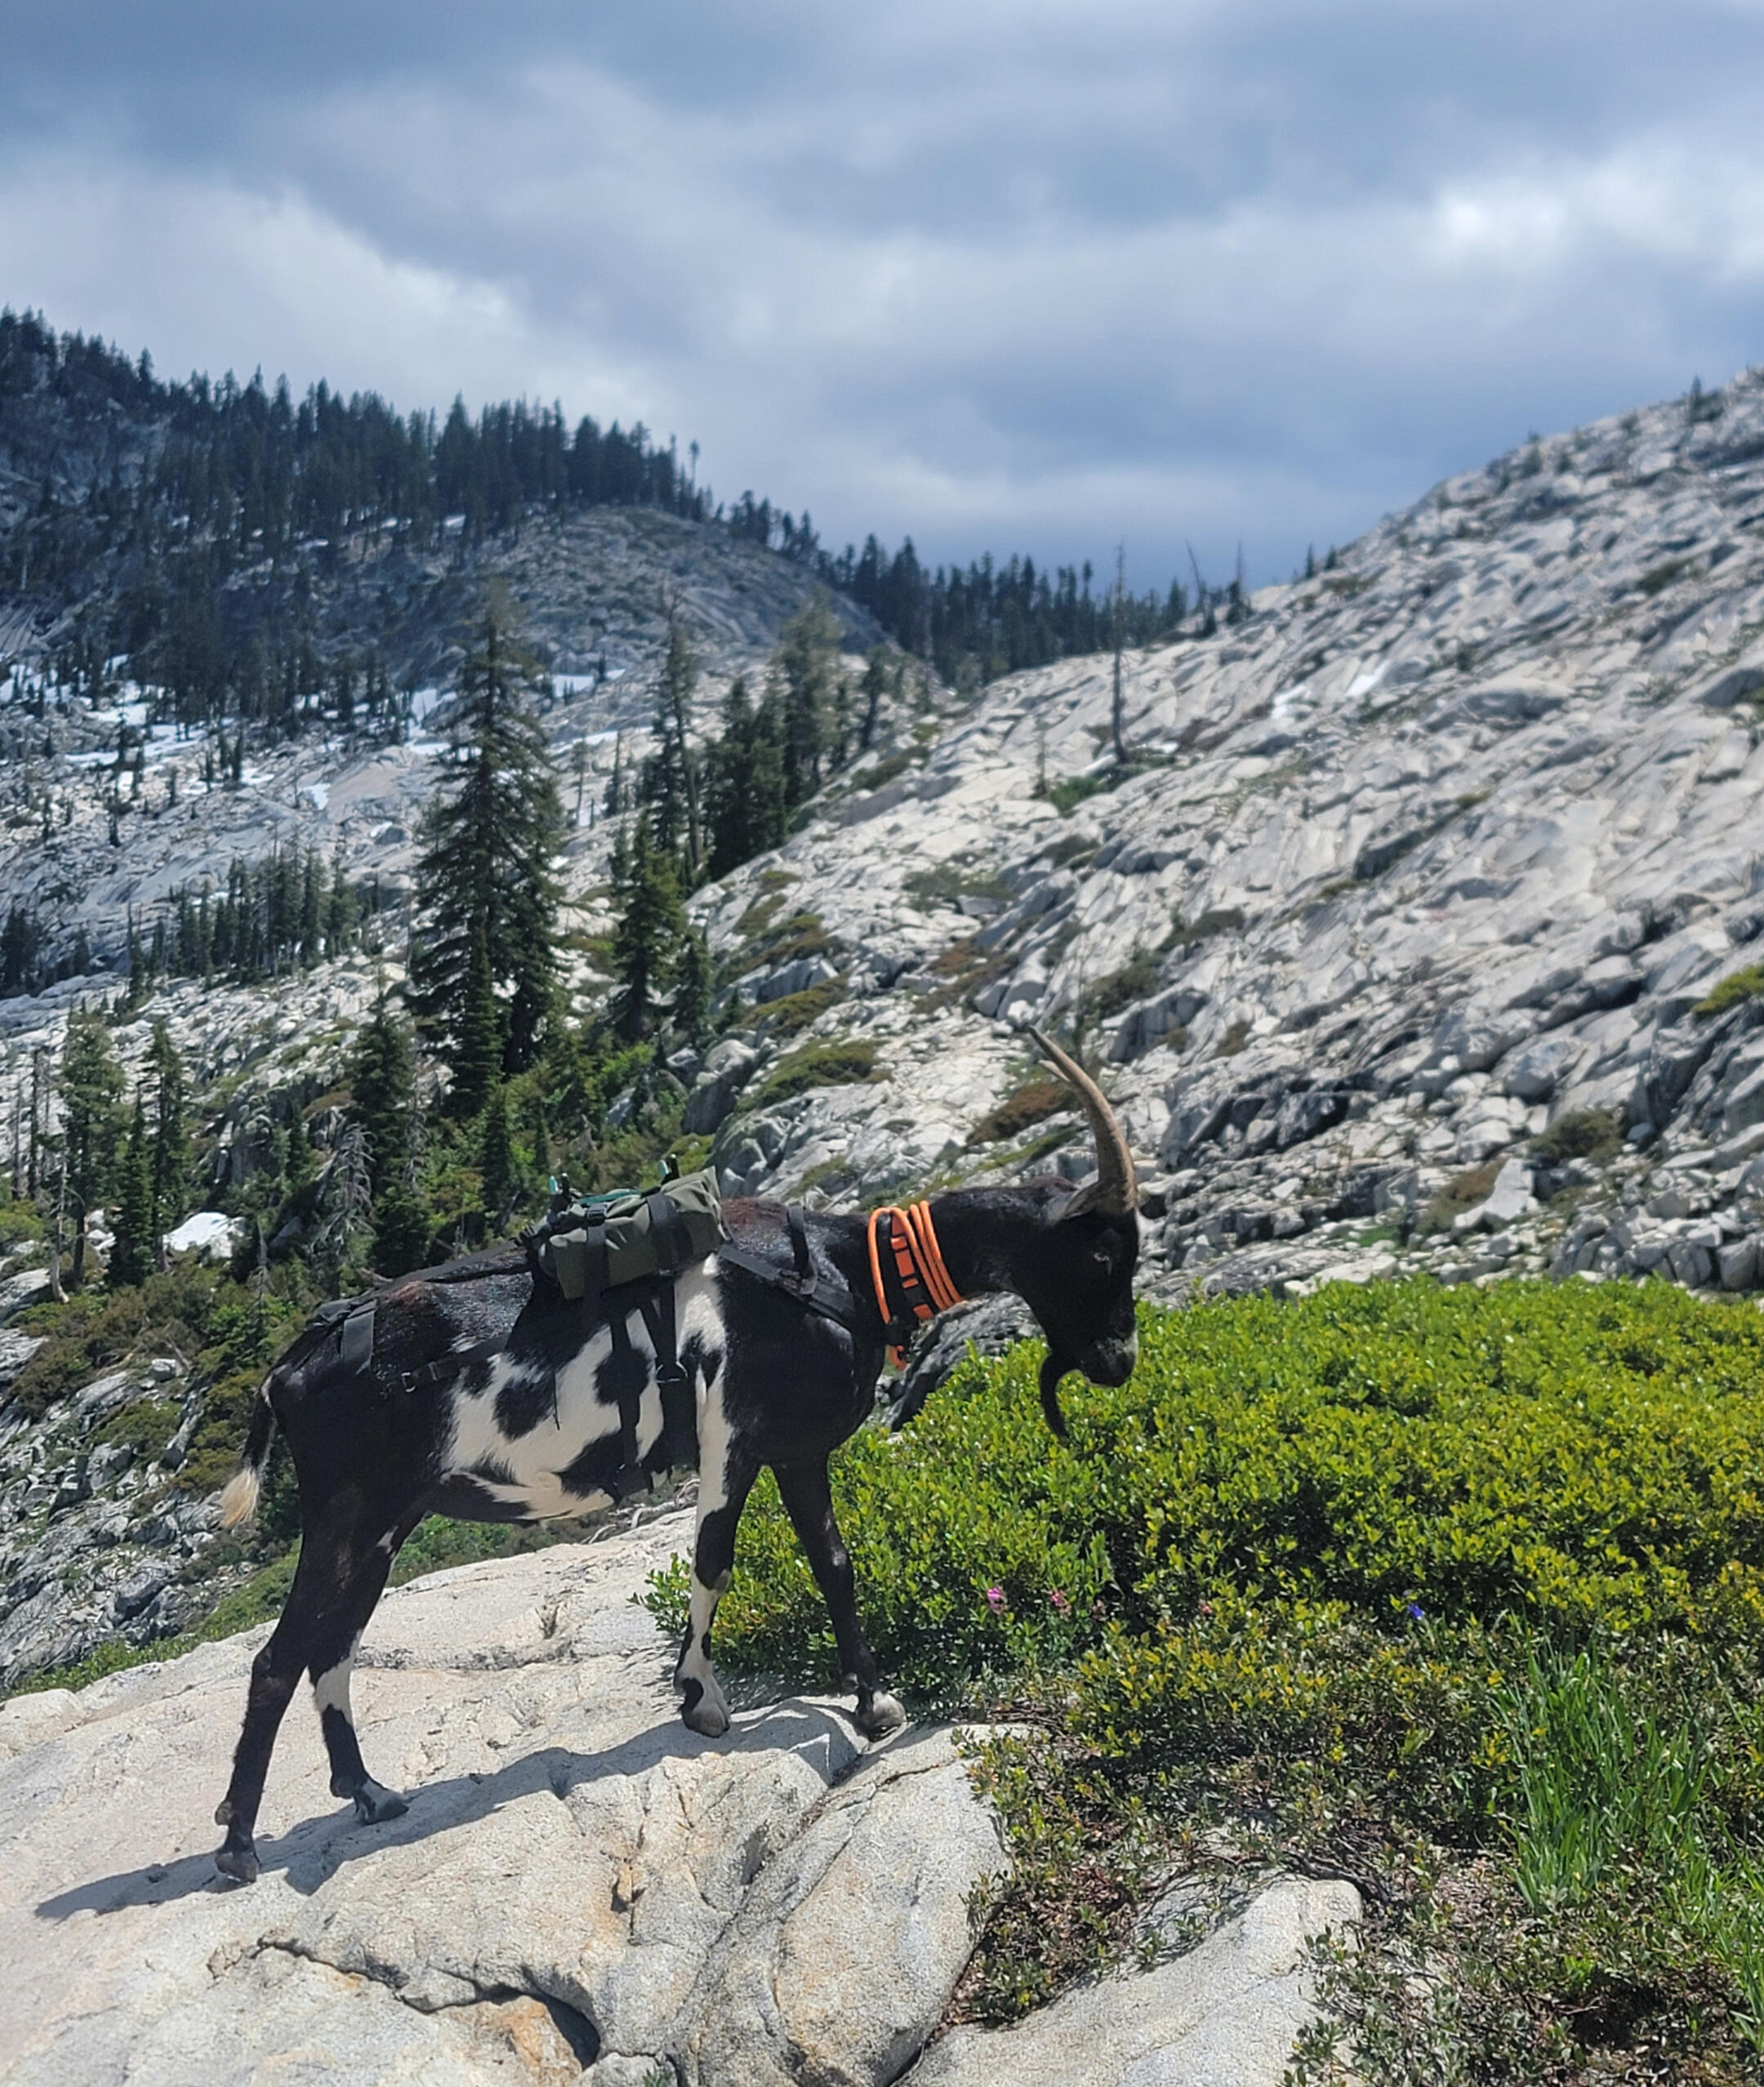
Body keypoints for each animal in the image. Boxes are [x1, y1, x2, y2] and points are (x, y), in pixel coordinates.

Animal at [209, 1031, 1139, 1882]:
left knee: (332, 1646)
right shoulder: (734, 1432)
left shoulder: (798, 1450)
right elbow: (714, 1557)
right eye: (1102, 1249)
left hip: (384, 1522)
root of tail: (290, 1366)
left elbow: (833, 1562)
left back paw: (367, 1792)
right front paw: (703, 1700)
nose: (1120, 1361)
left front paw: (875, 1703)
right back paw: (240, 1845)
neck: (844, 1268)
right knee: (277, 1658)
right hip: (345, 1510)